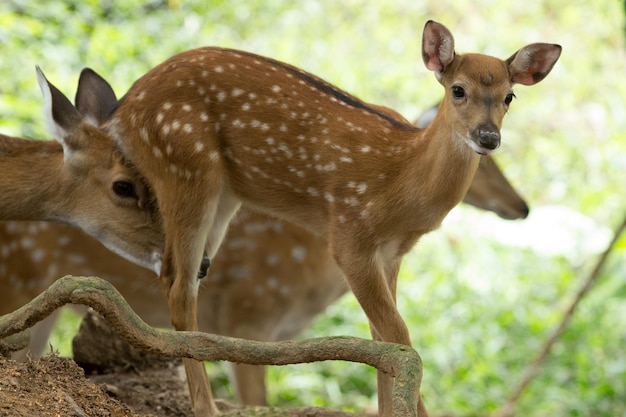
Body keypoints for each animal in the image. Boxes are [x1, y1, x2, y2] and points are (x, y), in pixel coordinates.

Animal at [36, 20, 560, 416]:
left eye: (510, 96)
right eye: (458, 90)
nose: (488, 138)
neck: (401, 182)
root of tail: (125, 108)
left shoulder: (392, 254)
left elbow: (385, 342)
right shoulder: (349, 234)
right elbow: (400, 338)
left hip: (223, 195)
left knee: (187, 279)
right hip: (184, 168)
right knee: (177, 285)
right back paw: (205, 407)